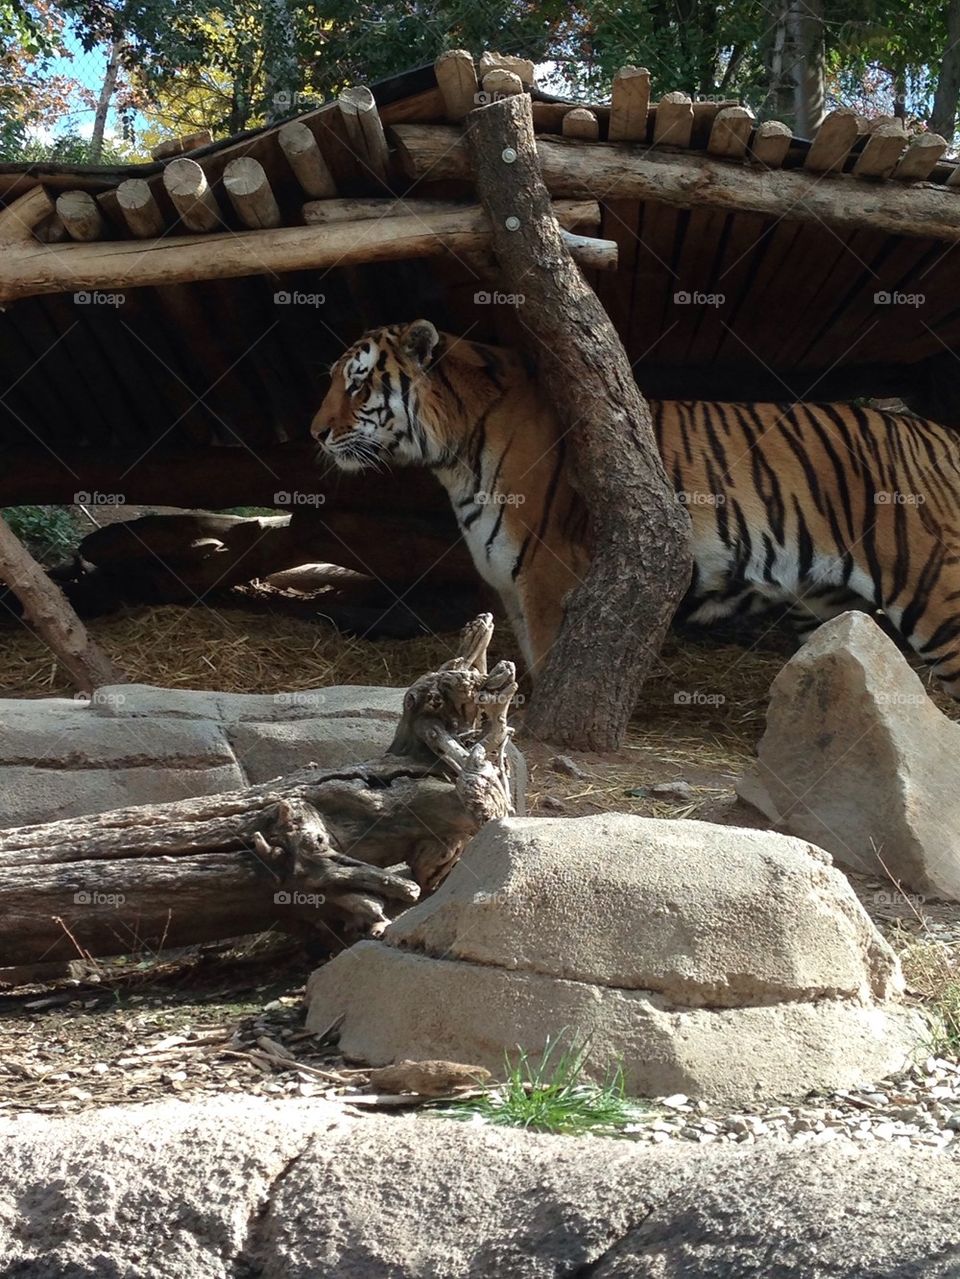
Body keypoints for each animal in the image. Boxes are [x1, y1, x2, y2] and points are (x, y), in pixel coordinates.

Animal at [311, 319, 960, 694]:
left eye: (357, 384)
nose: (315, 432)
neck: (453, 453)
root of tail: (942, 433)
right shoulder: (508, 582)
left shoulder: (547, 572)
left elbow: (547, 662)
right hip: (827, 602)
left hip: (934, 590)